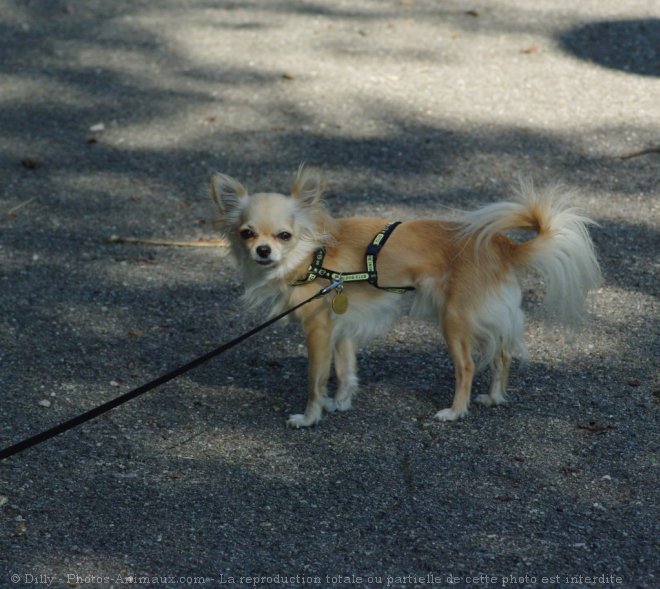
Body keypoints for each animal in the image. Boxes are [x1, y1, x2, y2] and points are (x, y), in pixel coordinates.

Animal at [213, 165, 604, 428]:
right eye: (247, 233)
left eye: (284, 236)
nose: (263, 251)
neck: (312, 255)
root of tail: (502, 245)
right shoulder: (342, 326)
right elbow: (345, 370)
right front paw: (341, 403)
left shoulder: (319, 329)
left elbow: (316, 379)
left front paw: (310, 417)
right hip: (484, 314)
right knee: (502, 354)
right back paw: (494, 398)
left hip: (454, 319)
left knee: (467, 366)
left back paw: (455, 411)